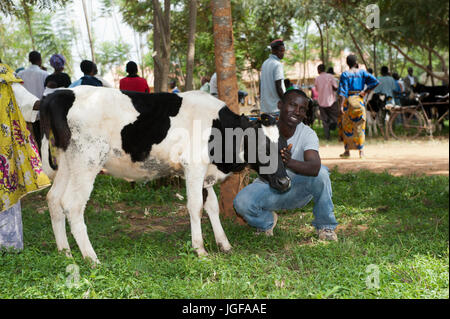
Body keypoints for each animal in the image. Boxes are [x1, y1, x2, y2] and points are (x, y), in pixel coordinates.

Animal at [39, 87, 292, 264]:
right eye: (261, 147)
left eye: (282, 147)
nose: (284, 182)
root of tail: (63, 94)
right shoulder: (194, 166)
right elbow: (195, 207)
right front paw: (200, 249)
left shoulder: (203, 172)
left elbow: (211, 206)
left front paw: (224, 244)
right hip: (87, 160)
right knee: (72, 204)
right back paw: (91, 258)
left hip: (68, 161)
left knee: (54, 199)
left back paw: (65, 253)